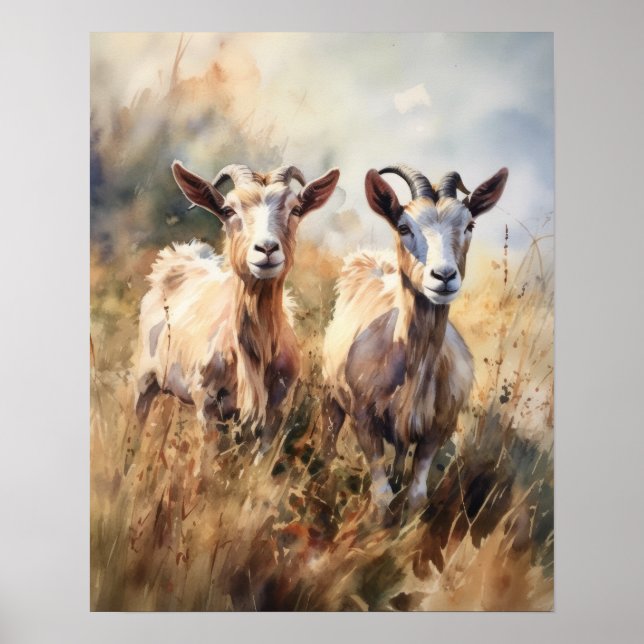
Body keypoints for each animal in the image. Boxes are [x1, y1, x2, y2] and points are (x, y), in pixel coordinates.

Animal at [135, 161, 340, 452]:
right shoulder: (208, 408)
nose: (266, 248)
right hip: (144, 381)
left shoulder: (275, 413)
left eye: (295, 209)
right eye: (228, 210)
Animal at [322, 163, 508, 514]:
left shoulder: (437, 430)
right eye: (404, 226)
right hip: (331, 396)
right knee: (328, 437)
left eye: (469, 224)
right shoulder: (364, 421)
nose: (444, 276)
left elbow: (417, 496)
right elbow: (381, 496)